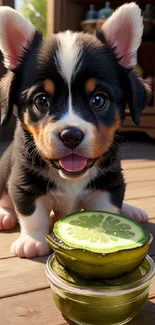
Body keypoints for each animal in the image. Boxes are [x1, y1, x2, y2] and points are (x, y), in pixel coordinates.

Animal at [0, 1, 151, 256]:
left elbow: (108, 209)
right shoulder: (23, 182)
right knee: (5, 200)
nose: (71, 135)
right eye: (41, 100)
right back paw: (5, 215)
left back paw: (131, 209)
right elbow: (32, 214)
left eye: (99, 99)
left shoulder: (109, 183)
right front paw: (32, 241)